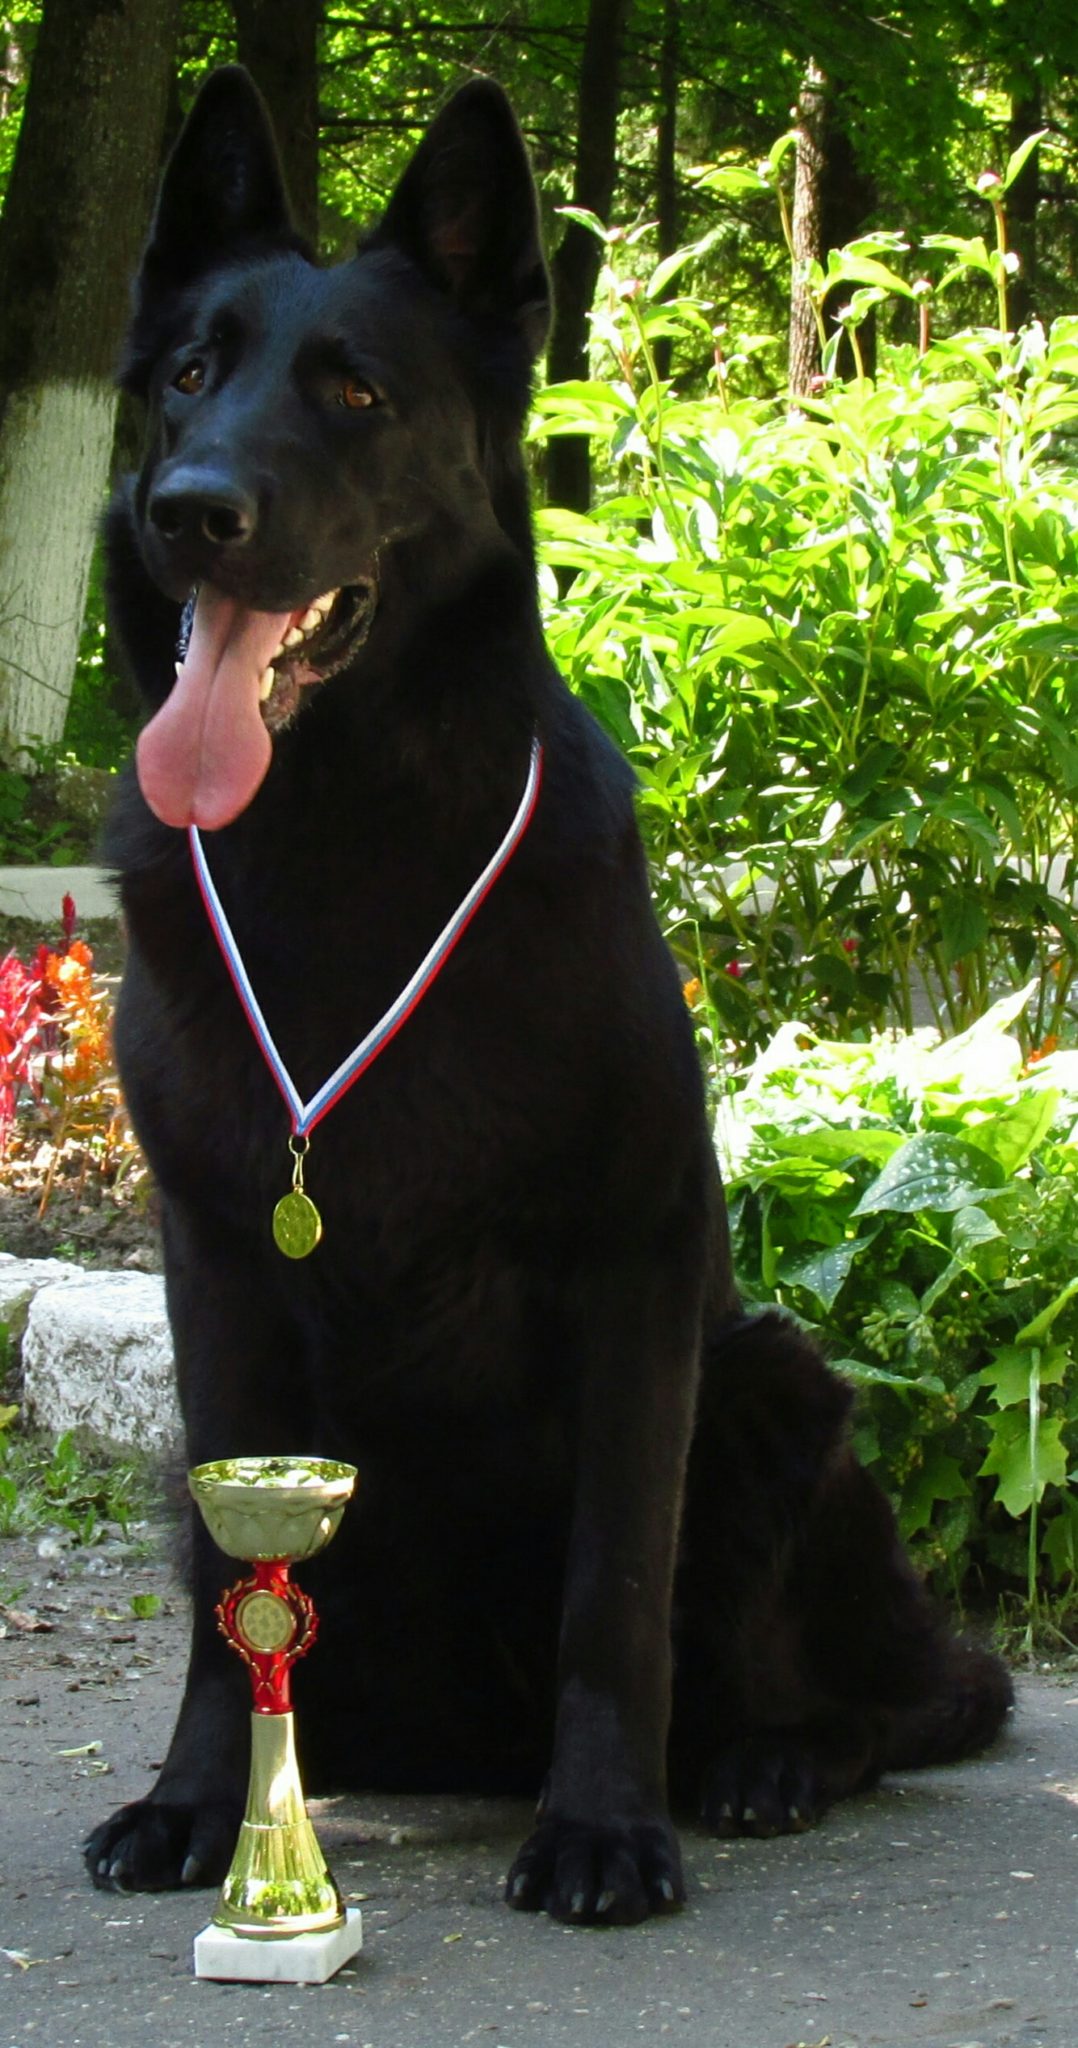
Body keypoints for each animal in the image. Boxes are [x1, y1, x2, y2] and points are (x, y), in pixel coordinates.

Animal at [85, 66, 1010, 1925]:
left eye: (357, 391)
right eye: (190, 377)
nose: (190, 510)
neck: (341, 841)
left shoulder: (633, 1272)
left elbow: (615, 1587)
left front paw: (602, 1825)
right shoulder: (213, 1273)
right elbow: (230, 1608)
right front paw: (205, 1804)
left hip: (774, 1381)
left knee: (898, 1702)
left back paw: (759, 1762)